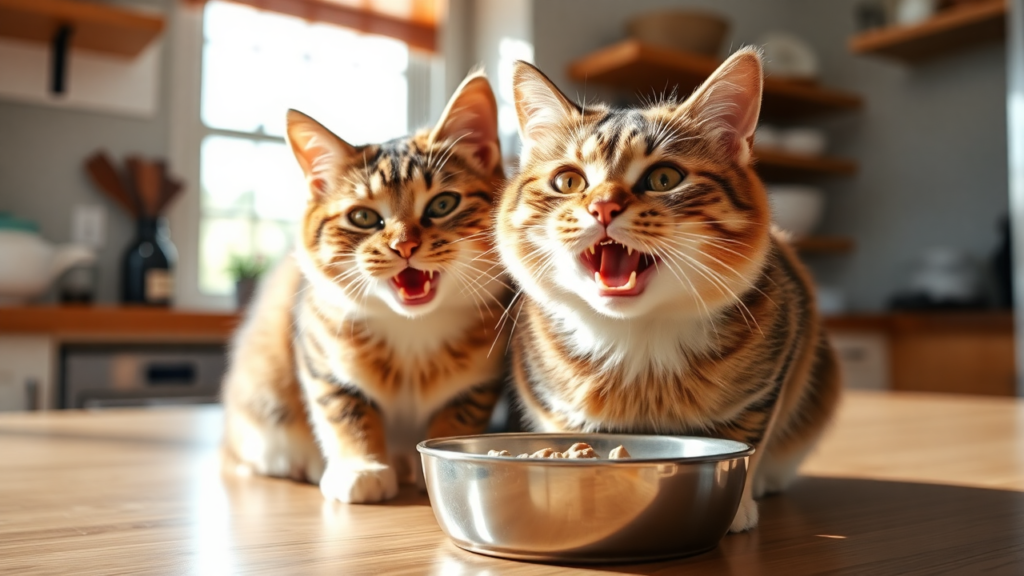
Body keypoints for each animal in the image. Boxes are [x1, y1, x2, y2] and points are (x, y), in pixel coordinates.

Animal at [224, 71, 512, 502]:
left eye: (443, 204)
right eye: (362, 217)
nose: (404, 245)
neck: (412, 329)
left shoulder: (480, 378)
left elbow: (458, 417)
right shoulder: (322, 354)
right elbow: (344, 410)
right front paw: (362, 468)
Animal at [495, 49, 839, 528]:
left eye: (663, 179)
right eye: (569, 181)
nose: (603, 207)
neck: (637, 343)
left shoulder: (773, 370)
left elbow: (745, 442)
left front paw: (735, 507)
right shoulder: (553, 401)